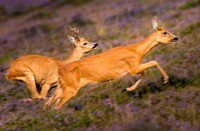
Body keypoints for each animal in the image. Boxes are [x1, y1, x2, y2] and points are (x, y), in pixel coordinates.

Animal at [44, 17, 179, 109]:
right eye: (164, 32)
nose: (176, 38)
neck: (136, 51)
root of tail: (60, 71)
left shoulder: (134, 68)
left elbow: (145, 72)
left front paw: (128, 88)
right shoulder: (133, 68)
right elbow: (153, 62)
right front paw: (165, 80)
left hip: (61, 88)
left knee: (48, 104)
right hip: (70, 90)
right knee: (56, 107)